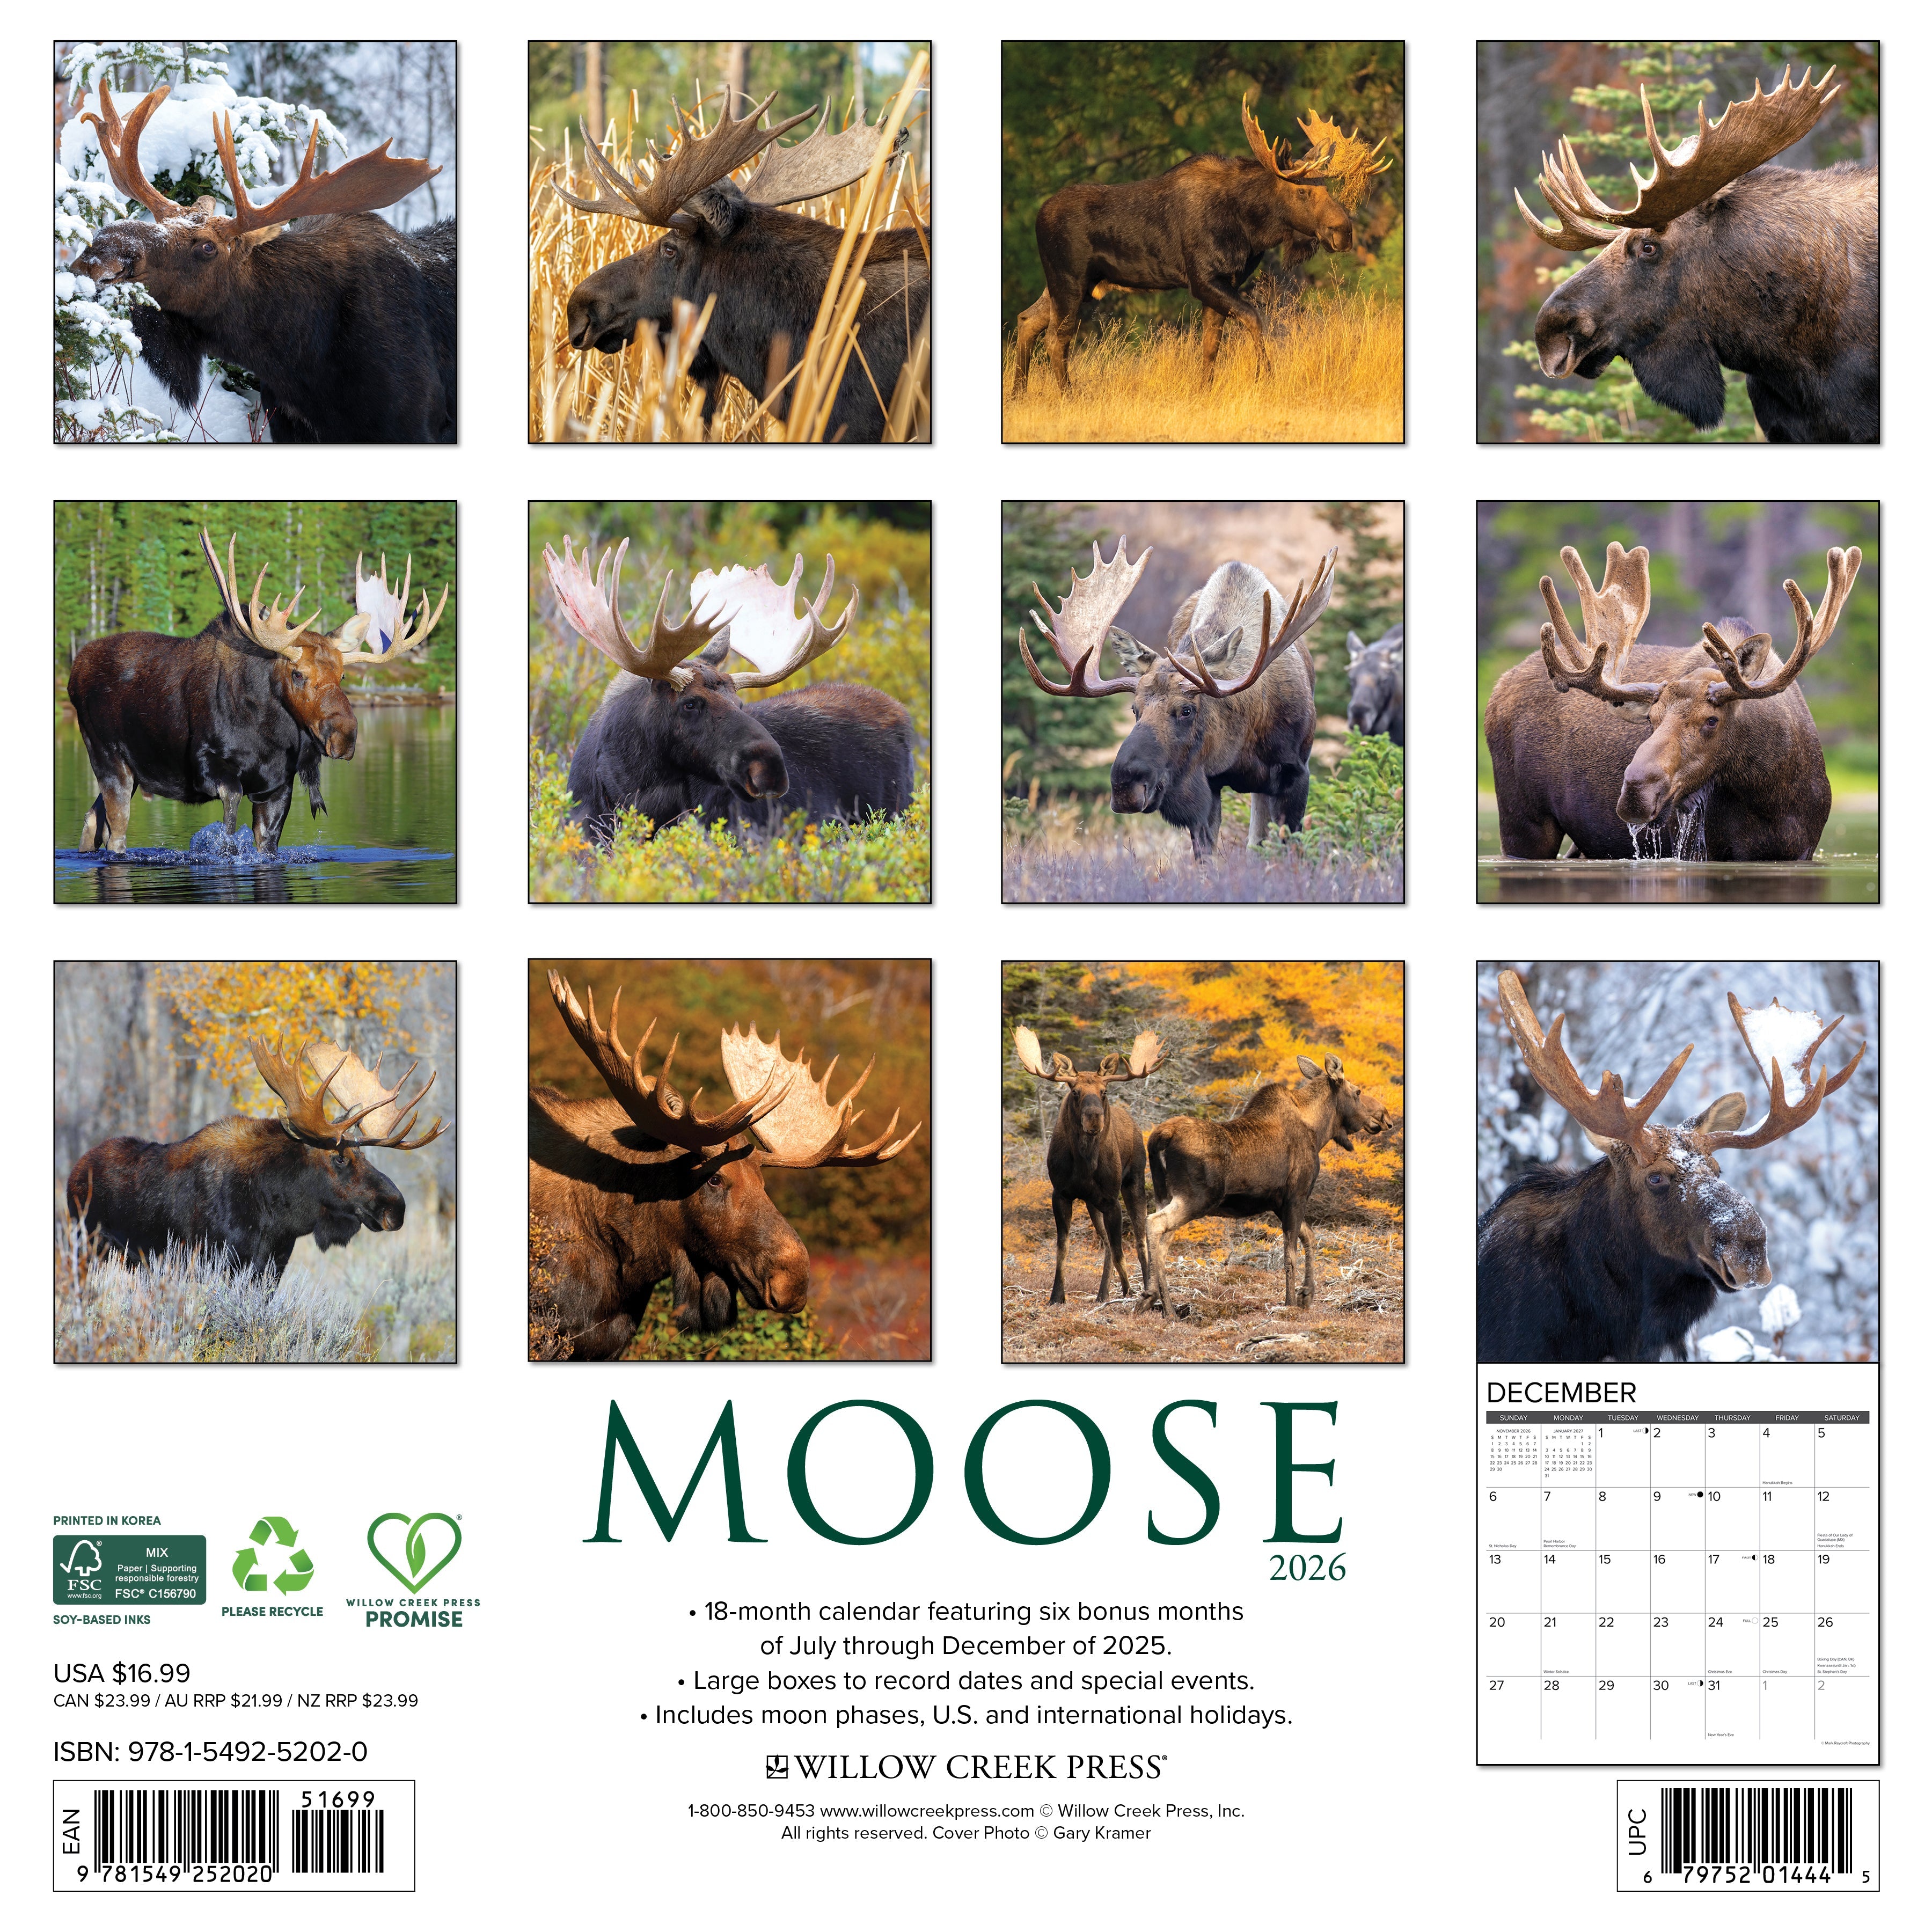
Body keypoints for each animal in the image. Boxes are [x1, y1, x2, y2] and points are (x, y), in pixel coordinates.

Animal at [1014, 1026, 1168, 1315]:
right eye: (1075, 1091)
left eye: (1104, 1091)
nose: (1094, 1117)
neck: (1085, 1164)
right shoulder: (1061, 1194)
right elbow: (1064, 1248)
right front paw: (1057, 1297)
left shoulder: (1111, 1198)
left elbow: (1121, 1250)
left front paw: (1131, 1293)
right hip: (1092, 1202)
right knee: (1107, 1242)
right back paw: (1103, 1294)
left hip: (1134, 1182)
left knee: (1139, 1240)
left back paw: (1140, 1291)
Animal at [1018, 536, 1336, 857]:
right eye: (1135, 709)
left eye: (1186, 710)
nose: (1125, 788)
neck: (1244, 741)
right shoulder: (1207, 787)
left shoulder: (1297, 773)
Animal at [1484, 541, 1860, 860]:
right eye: (1651, 719)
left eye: (1712, 720)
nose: (1636, 793)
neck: (1770, 795)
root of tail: (1498, 689)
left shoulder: (1802, 849)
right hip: (1524, 821)